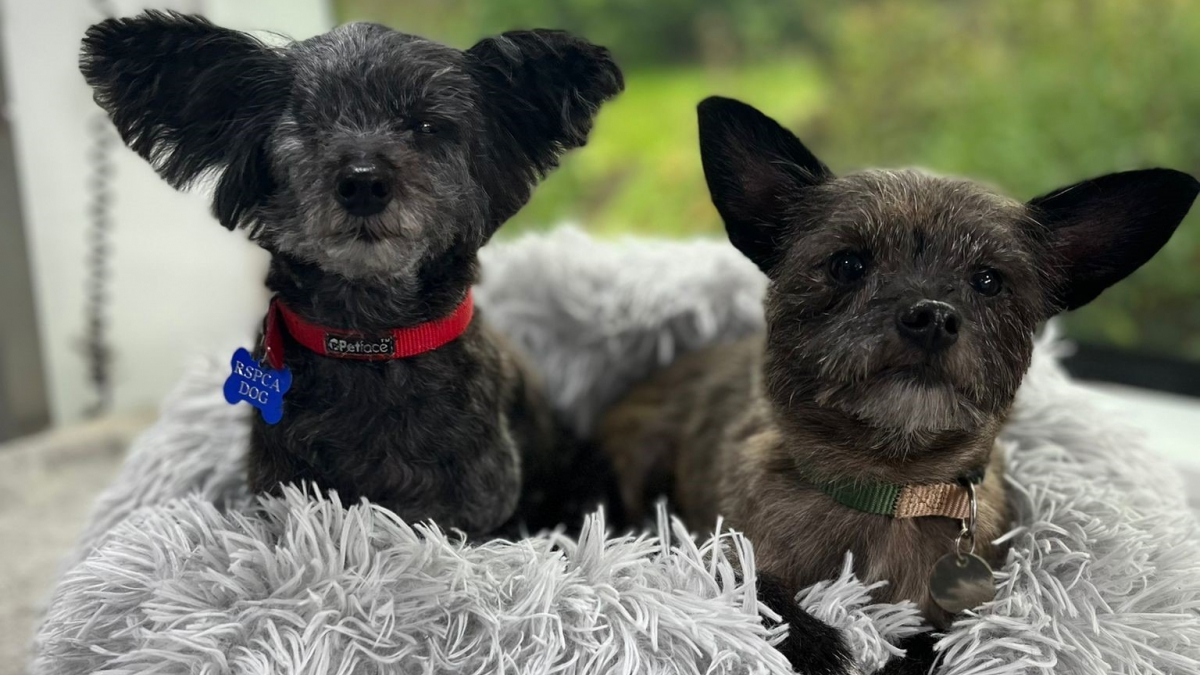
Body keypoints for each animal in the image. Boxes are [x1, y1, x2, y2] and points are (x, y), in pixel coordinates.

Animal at [604, 97, 1195, 667]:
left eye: (989, 282)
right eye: (847, 264)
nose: (932, 316)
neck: (888, 489)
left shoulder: (973, 611)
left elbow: (944, 642)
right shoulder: (717, 553)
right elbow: (756, 594)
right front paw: (818, 644)